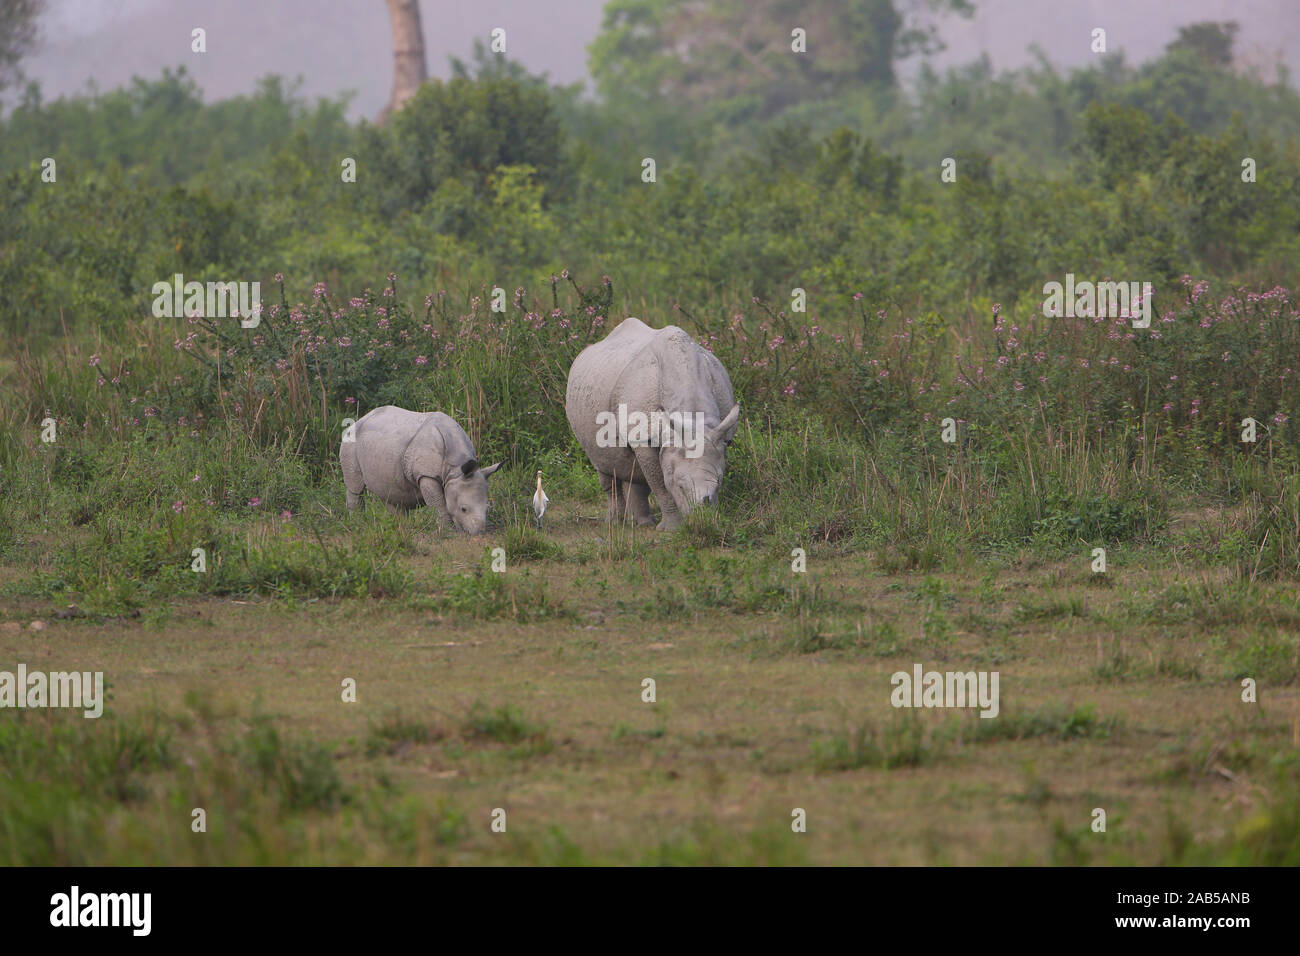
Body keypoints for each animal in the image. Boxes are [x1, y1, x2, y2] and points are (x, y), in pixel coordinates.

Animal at [340, 405, 501, 534]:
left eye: (487, 508)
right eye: (463, 509)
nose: (478, 533)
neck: (455, 470)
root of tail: (359, 419)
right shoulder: (427, 475)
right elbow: (439, 504)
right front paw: (448, 531)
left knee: (390, 492)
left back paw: (400, 527)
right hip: (350, 441)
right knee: (355, 487)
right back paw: (357, 524)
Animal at [566, 317, 739, 530]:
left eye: (719, 484)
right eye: (680, 486)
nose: (702, 520)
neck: (693, 418)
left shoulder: (722, 436)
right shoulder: (643, 438)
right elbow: (660, 483)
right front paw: (672, 529)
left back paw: (641, 523)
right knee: (604, 465)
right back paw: (615, 523)